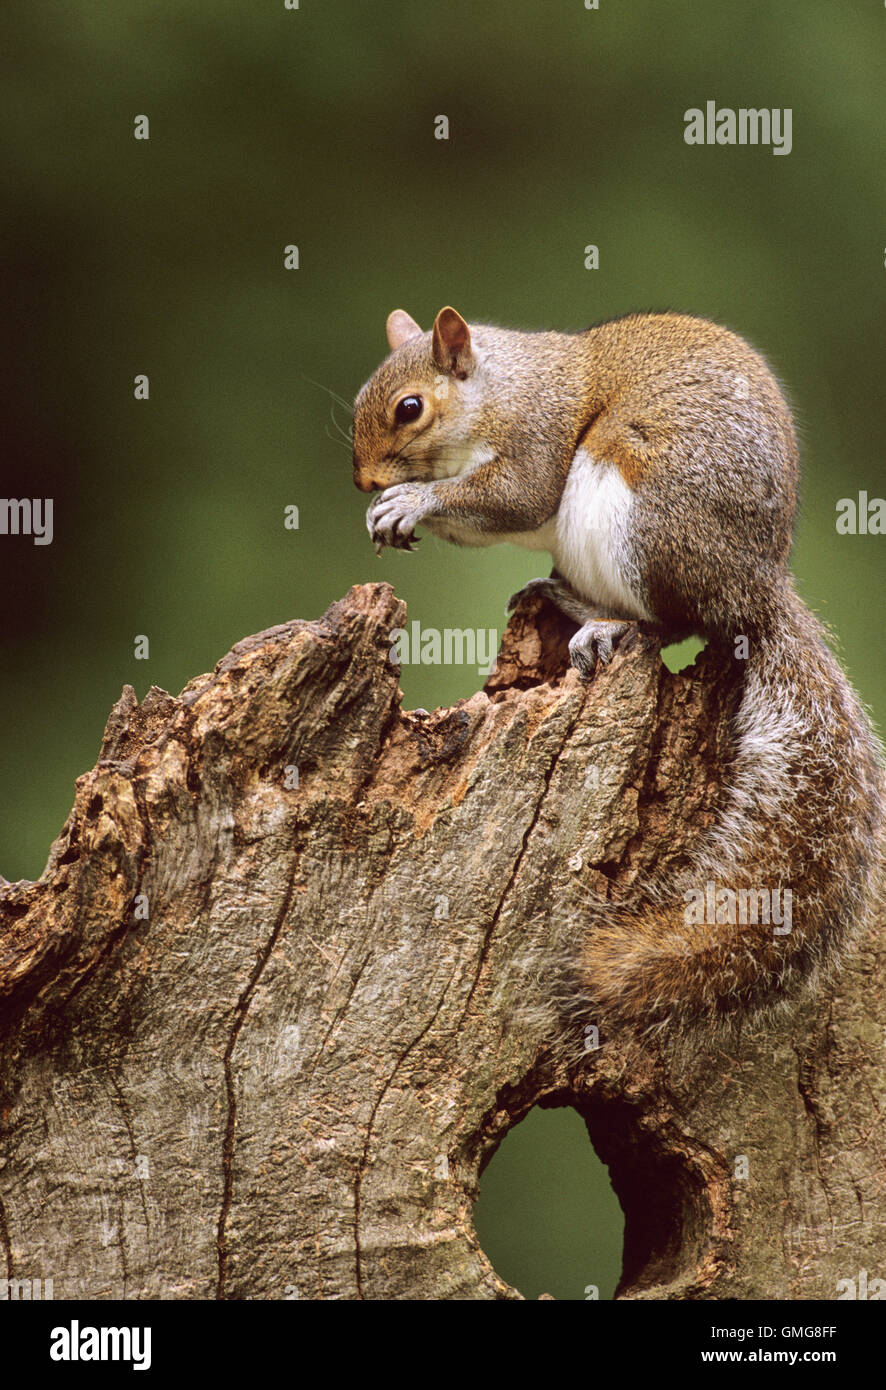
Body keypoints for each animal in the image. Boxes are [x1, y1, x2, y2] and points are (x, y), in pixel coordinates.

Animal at [352, 305, 885, 1036]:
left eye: (410, 408)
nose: (365, 481)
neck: (495, 392)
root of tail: (758, 593)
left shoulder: (537, 439)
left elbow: (516, 498)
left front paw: (412, 499)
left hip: (641, 523)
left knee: (678, 624)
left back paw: (605, 622)